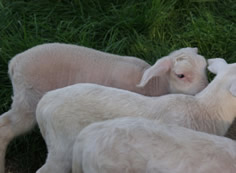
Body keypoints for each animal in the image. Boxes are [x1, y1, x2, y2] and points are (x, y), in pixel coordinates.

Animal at [0, 43, 208, 173]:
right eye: (181, 75)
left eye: (205, 68)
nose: (204, 90)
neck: (152, 84)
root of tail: (14, 63)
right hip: (29, 99)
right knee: (7, 128)